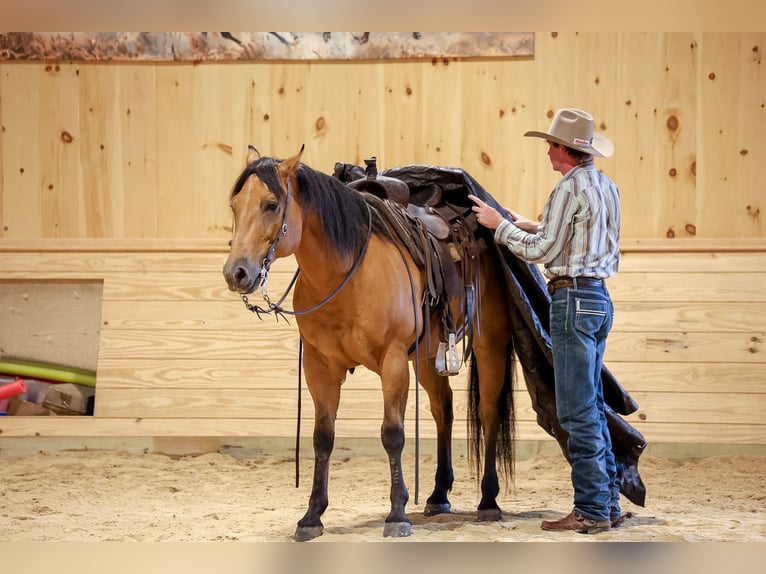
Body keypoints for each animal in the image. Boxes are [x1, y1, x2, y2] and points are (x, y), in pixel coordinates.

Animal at [222, 146, 517, 541]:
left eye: (271, 204)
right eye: (235, 205)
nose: (236, 273)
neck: (346, 274)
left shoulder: (392, 361)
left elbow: (392, 434)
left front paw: (397, 514)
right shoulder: (319, 367)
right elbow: (323, 438)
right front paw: (312, 516)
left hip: (490, 345)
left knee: (487, 412)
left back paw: (488, 500)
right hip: (425, 358)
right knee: (443, 408)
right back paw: (438, 495)